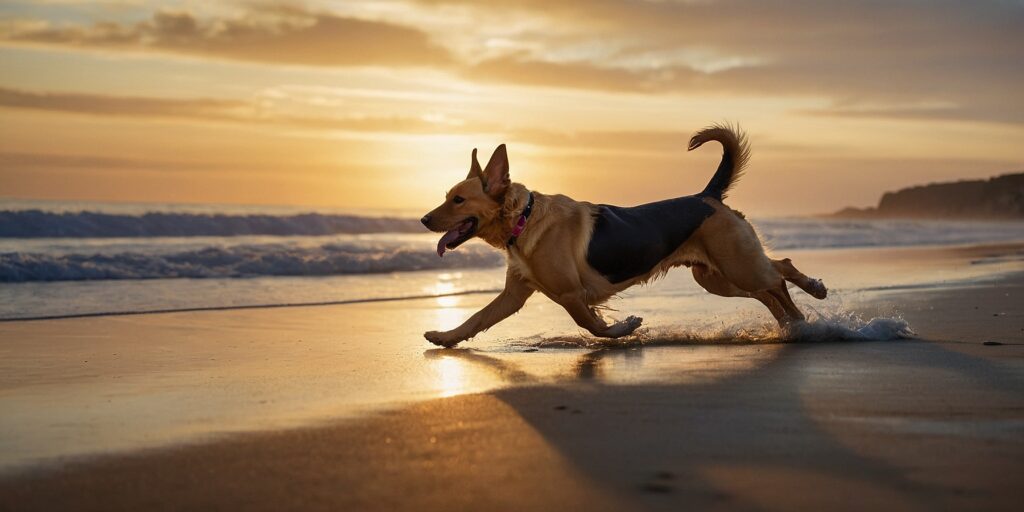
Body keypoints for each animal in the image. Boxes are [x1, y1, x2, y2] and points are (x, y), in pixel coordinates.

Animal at [419, 124, 827, 348]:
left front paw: (626, 327)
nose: (423, 220)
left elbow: (593, 326)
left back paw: (810, 301)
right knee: (771, 287)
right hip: (718, 277)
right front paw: (445, 337)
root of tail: (707, 195)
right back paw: (794, 323)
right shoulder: (513, 296)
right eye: (447, 196)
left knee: (778, 274)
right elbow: (476, 319)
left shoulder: (571, 295)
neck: (524, 219)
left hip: (737, 266)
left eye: (458, 200)